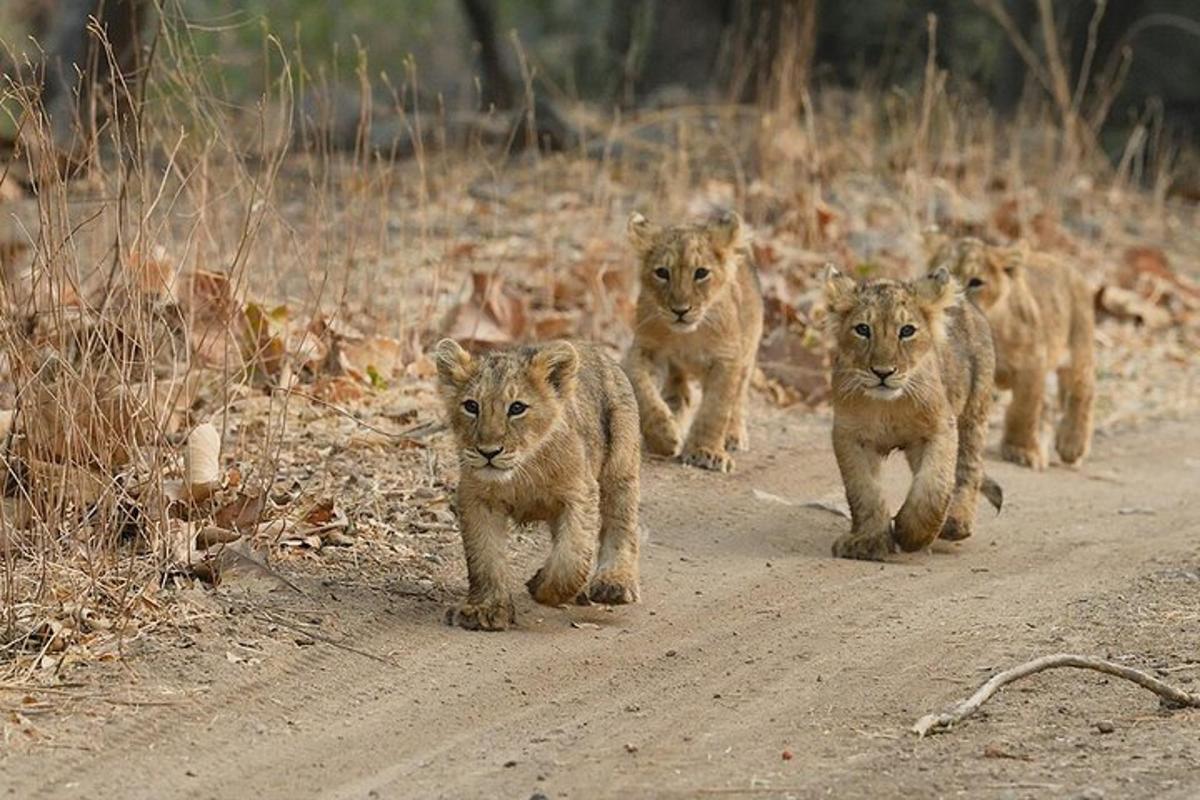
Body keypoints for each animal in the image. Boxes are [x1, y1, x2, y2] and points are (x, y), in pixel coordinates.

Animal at [434, 338, 642, 631]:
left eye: (517, 408)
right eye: (471, 406)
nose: (488, 452)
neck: (523, 470)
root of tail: (593, 346)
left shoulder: (580, 493)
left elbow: (572, 557)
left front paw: (543, 588)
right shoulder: (477, 499)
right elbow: (484, 557)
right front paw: (486, 609)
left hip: (620, 466)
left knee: (621, 522)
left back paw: (614, 583)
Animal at [623, 210, 764, 473]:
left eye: (701, 273)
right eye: (662, 272)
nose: (680, 310)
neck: (688, 336)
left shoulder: (727, 358)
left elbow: (716, 408)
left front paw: (706, 452)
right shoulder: (645, 348)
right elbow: (642, 388)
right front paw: (663, 436)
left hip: (748, 353)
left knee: (738, 397)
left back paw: (733, 436)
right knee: (680, 393)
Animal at [824, 266, 1001, 561]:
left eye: (906, 331)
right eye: (863, 329)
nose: (883, 372)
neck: (888, 408)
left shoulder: (940, 428)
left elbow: (933, 485)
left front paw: (911, 533)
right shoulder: (849, 436)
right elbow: (864, 491)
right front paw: (868, 541)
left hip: (974, 412)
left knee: (968, 470)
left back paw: (955, 522)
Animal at [928, 235, 1095, 469]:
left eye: (976, 282)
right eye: (935, 277)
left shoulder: (1032, 363)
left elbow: (1024, 408)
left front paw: (1021, 450)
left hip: (1078, 348)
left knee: (1084, 389)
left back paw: (1072, 445)